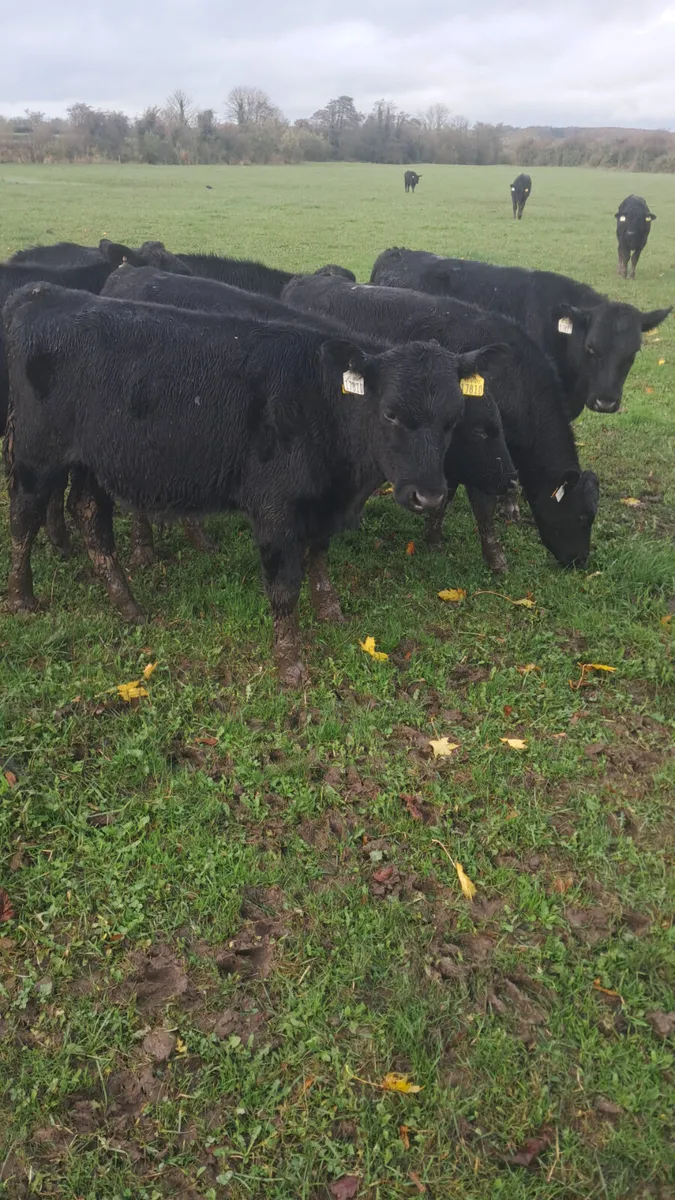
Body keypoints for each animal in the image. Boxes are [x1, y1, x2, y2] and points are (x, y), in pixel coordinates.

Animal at [3, 283, 505, 685]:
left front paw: (332, 612)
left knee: (89, 516)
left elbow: (319, 558)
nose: (429, 495)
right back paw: (22, 597)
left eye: (453, 420)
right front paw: (291, 664)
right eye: (391, 414)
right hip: (36, 453)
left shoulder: (319, 503)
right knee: (24, 517)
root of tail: (43, 295)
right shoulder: (274, 508)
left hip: (92, 461)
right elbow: (284, 586)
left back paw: (128, 605)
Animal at [282, 272, 599, 572]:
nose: (581, 560)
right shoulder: (481, 454)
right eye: (582, 516)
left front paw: (434, 538)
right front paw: (495, 558)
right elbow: (481, 506)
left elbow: (447, 494)